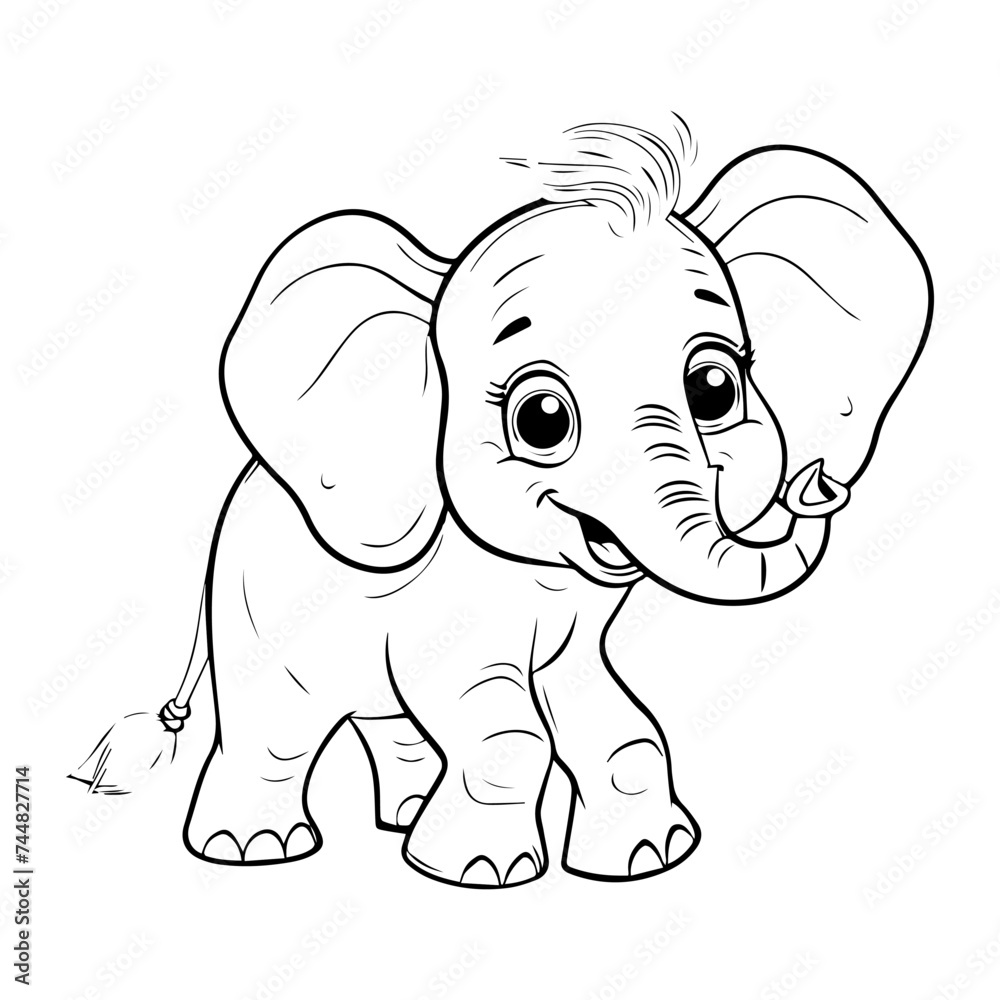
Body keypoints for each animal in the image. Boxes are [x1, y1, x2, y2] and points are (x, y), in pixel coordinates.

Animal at [74, 122, 932, 888]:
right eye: (541, 419)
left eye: (715, 388)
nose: (819, 481)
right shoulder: (448, 604)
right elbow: (503, 725)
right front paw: (481, 874)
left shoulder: (574, 622)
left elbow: (609, 716)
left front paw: (648, 858)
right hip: (255, 609)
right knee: (276, 729)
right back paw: (254, 849)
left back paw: (401, 816)